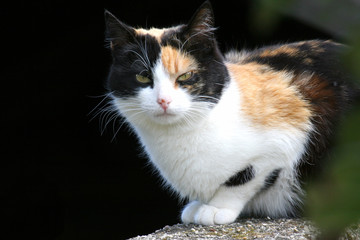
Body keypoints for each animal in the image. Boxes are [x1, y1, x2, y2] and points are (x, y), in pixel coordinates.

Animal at [102, 0, 358, 225]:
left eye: (186, 76)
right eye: (143, 77)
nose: (163, 100)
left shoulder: (290, 132)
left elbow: (244, 178)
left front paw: (216, 207)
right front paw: (200, 204)